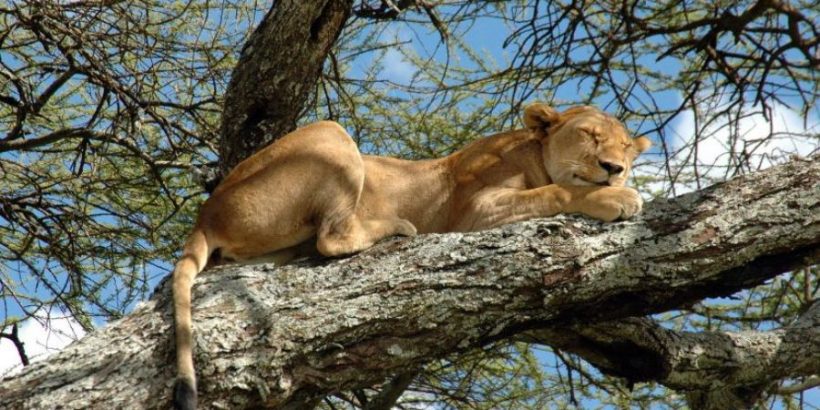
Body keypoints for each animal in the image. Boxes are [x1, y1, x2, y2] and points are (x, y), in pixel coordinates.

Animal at [171, 103, 652, 410]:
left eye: (627, 148)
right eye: (590, 136)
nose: (616, 168)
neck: (533, 150)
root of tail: (206, 213)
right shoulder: (475, 212)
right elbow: (559, 190)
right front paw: (618, 198)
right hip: (330, 133)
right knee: (331, 239)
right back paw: (395, 226)